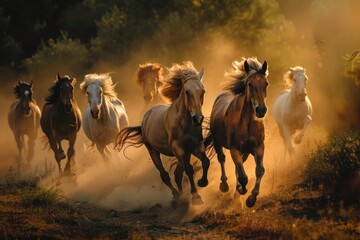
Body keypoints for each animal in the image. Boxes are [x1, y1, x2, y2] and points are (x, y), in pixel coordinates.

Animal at [115, 62, 210, 204]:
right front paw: (196, 196)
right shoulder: (178, 149)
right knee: (164, 174)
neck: (184, 123)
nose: (197, 118)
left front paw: (203, 182)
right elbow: (188, 169)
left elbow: (205, 162)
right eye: (187, 92)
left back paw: (181, 195)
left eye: (202, 91)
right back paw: (176, 195)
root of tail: (146, 117)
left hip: (185, 153)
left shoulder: (195, 146)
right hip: (153, 151)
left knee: (177, 174)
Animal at [204, 57, 268, 207]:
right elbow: (243, 177)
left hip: (245, 152)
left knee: (237, 167)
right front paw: (242, 190)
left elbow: (259, 170)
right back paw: (224, 186)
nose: (261, 110)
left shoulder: (258, 147)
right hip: (217, 142)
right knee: (222, 159)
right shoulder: (234, 149)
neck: (247, 123)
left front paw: (251, 198)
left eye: (266, 83)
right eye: (249, 84)